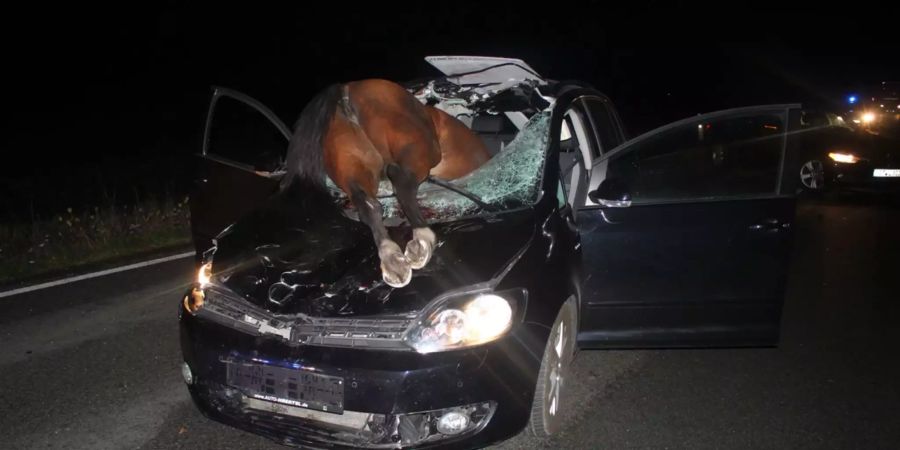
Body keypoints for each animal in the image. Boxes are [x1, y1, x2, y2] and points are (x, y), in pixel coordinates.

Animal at [282, 78, 492, 286]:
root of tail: (346, 90)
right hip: (420, 147)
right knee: (400, 179)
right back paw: (422, 239)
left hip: (353, 165)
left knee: (369, 205)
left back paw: (391, 258)